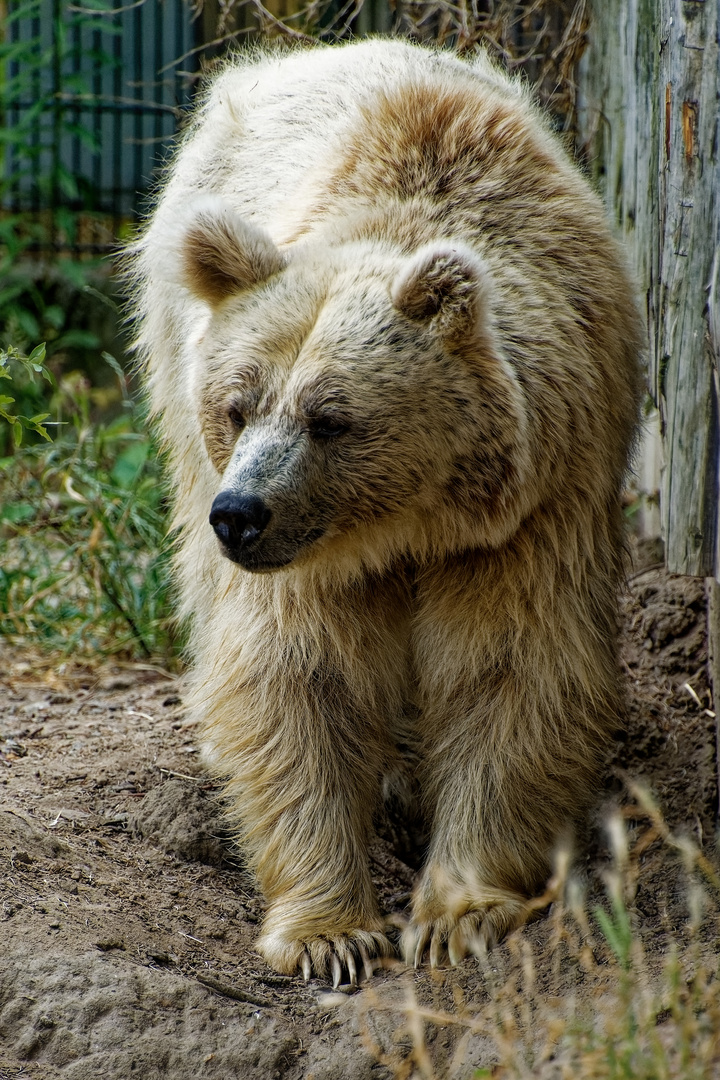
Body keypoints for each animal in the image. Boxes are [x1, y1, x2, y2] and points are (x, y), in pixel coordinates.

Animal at [124, 39, 643, 989]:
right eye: (240, 406)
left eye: (332, 418)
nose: (240, 514)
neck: (410, 524)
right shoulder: (308, 556)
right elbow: (297, 679)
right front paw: (329, 932)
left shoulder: (537, 504)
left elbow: (510, 673)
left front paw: (460, 913)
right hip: (176, 354)